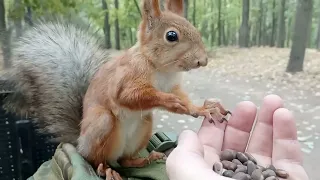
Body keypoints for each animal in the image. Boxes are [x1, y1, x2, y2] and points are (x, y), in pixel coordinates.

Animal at [0, 0, 230, 179]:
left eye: (196, 29)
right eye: (171, 36)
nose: (203, 61)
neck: (161, 69)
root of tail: (79, 142)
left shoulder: (172, 85)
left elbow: (184, 99)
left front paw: (203, 108)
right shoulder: (125, 79)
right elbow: (128, 96)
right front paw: (168, 101)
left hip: (143, 126)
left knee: (124, 160)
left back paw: (144, 159)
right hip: (101, 123)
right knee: (95, 160)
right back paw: (106, 170)